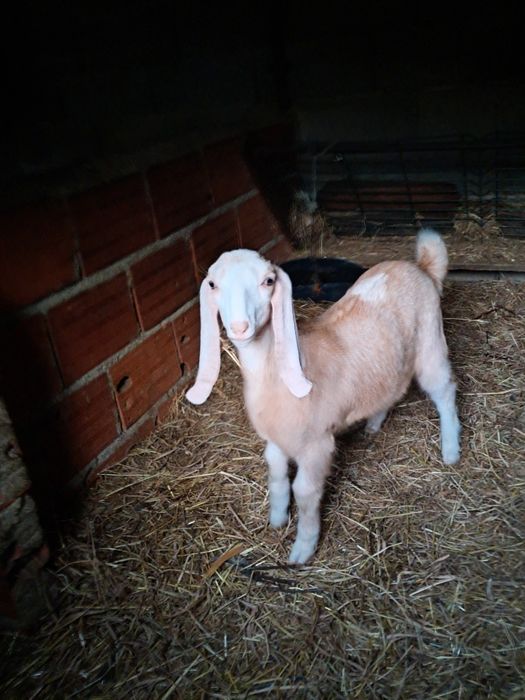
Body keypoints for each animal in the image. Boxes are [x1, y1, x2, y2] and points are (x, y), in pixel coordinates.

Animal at [186, 229, 461, 564]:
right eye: (213, 284)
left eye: (268, 281)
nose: (240, 327)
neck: (277, 372)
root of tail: (419, 266)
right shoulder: (276, 439)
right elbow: (276, 476)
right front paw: (277, 518)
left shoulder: (316, 445)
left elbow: (304, 492)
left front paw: (303, 548)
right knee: (393, 387)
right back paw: (374, 423)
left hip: (431, 341)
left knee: (444, 390)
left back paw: (451, 449)